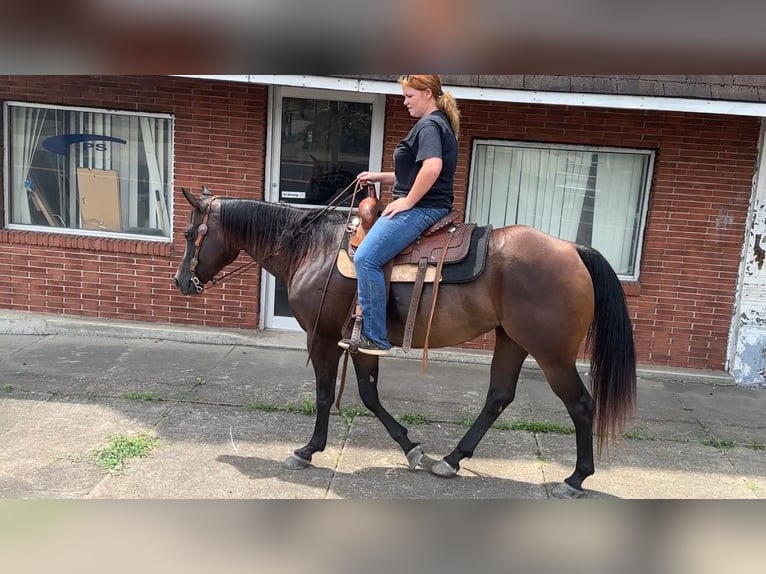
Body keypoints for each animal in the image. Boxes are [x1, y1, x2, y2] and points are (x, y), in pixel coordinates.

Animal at [173, 187, 636, 498]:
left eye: (190, 233)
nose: (180, 282)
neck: (314, 248)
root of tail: (573, 249)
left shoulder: (322, 337)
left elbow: (324, 395)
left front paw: (308, 450)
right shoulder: (360, 342)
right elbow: (369, 395)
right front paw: (411, 447)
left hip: (551, 353)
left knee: (581, 405)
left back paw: (576, 478)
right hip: (512, 341)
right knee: (498, 397)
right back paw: (452, 460)